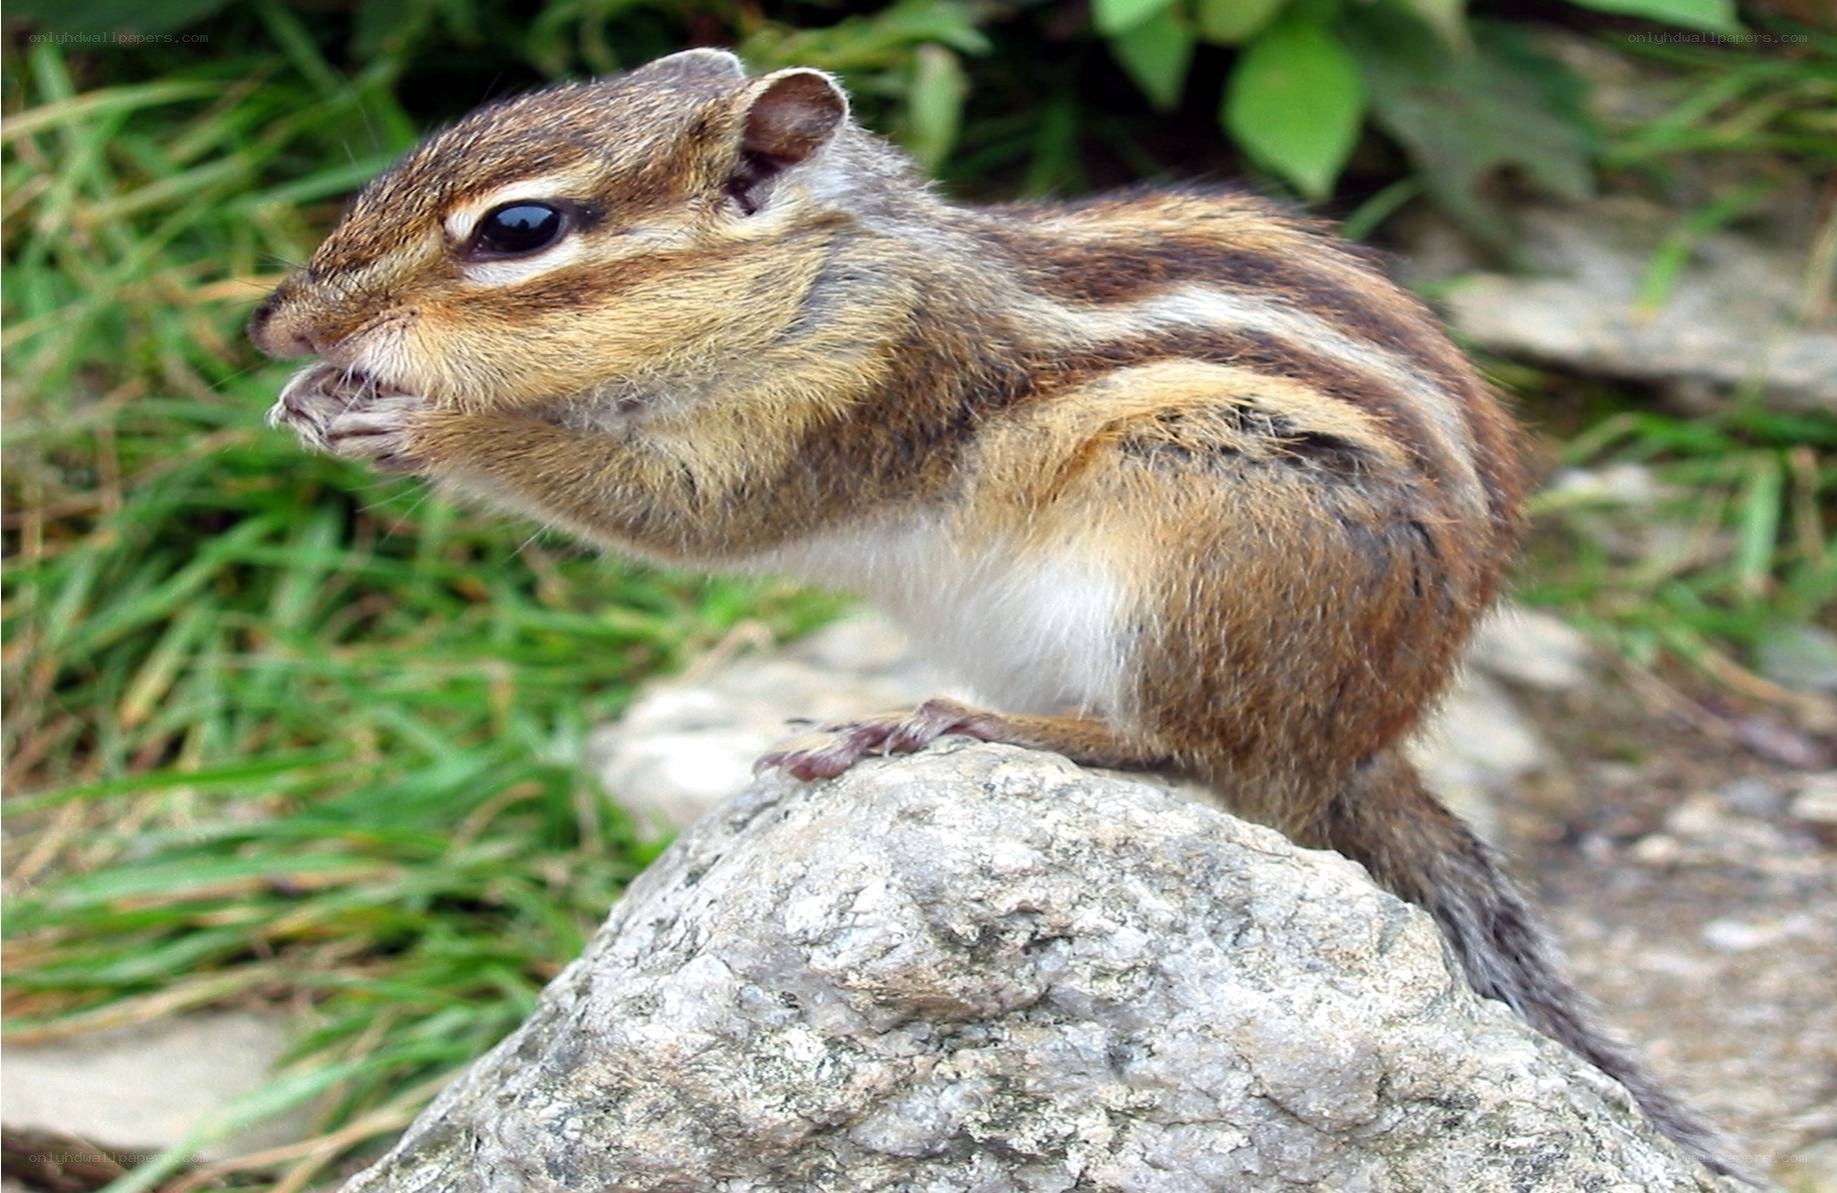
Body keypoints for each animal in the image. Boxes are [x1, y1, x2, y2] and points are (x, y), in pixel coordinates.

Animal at [251, 48, 1747, 1179]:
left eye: (519, 229)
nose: (274, 321)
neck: (818, 274)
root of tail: (1363, 742)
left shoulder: (854, 396)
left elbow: (667, 507)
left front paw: (420, 424)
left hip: (1197, 548)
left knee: (1192, 755)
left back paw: (944, 727)